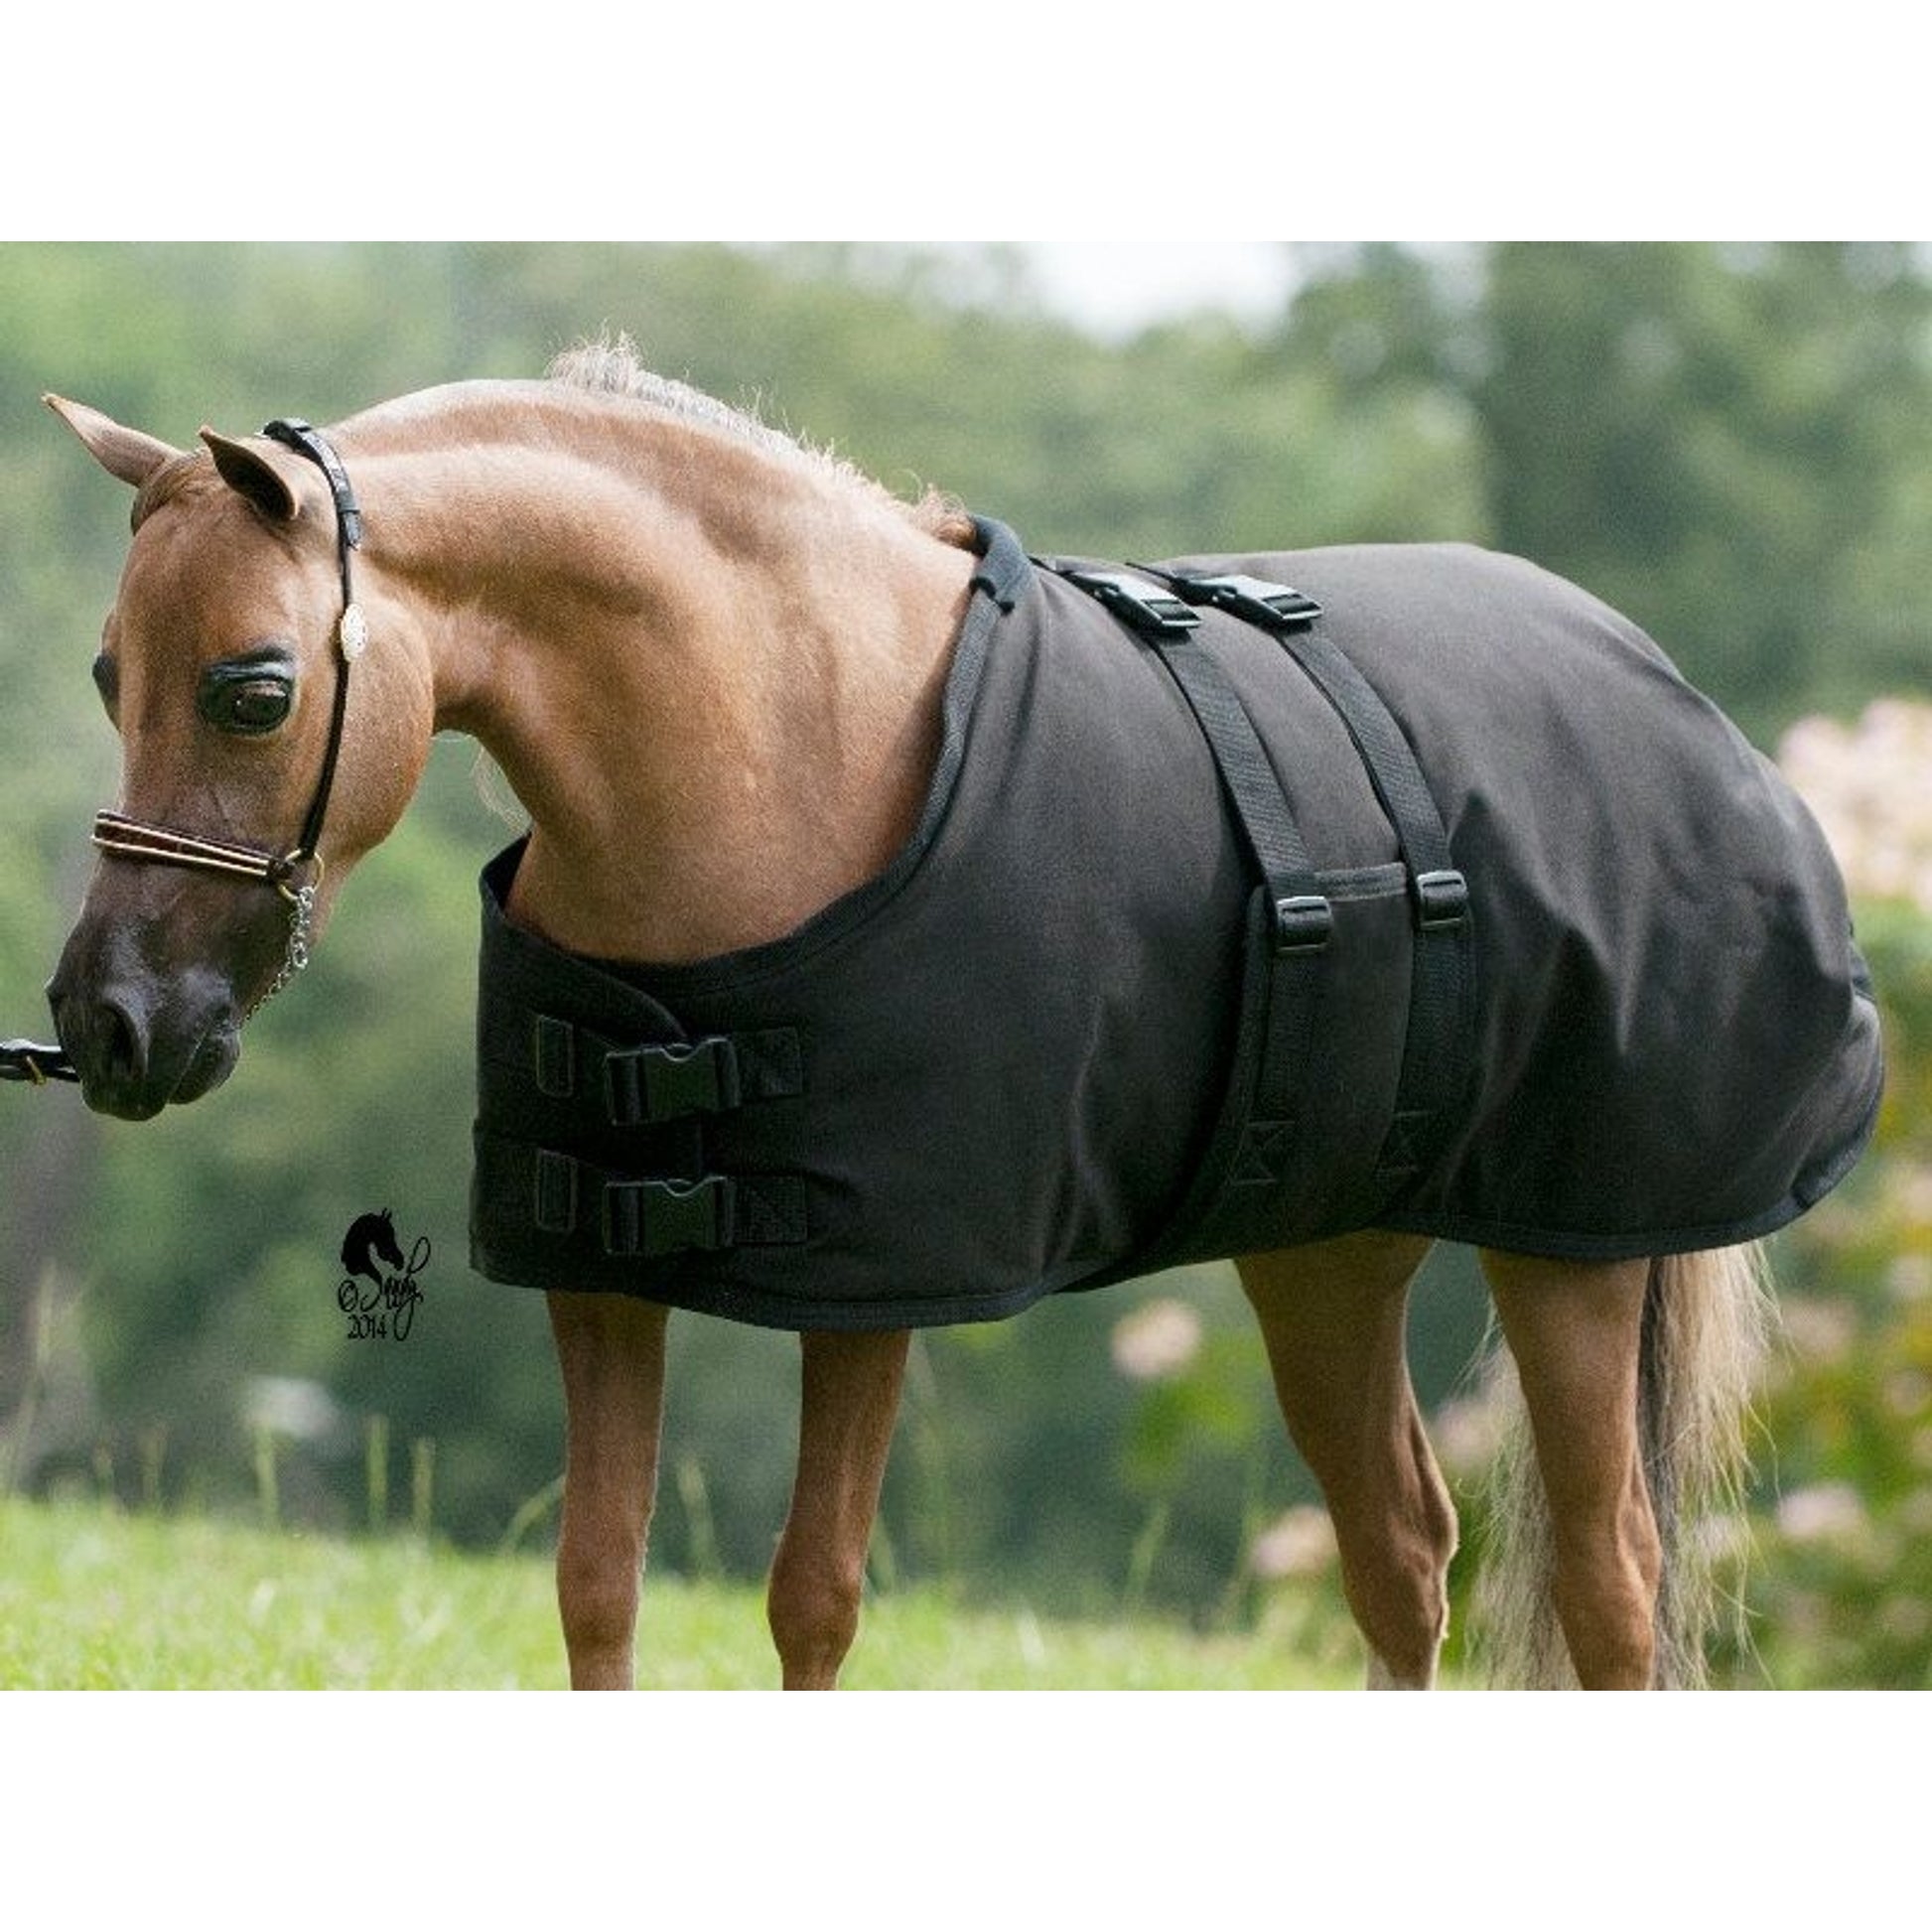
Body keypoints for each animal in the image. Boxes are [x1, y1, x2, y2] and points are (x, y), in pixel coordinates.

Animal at [39, 343, 1880, 1689]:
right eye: (106, 676)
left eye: (255, 688)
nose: (109, 1020)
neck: (766, 739)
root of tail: (1668, 685)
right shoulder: (597, 1272)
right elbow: (595, 1583)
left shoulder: (880, 1282)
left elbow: (813, 1596)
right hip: (1327, 1247)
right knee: (1400, 1553)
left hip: (1573, 1253)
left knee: (1608, 1585)